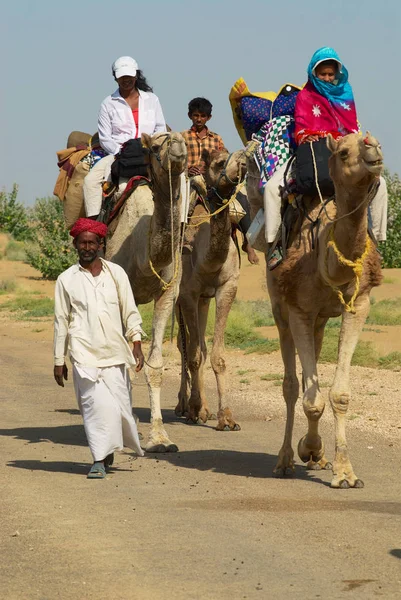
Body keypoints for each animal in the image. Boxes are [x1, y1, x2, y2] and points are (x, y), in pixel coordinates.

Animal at [106, 130, 188, 450]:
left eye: (183, 139)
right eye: (155, 146)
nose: (178, 145)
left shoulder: (168, 292)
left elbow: (154, 366)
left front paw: (160, 436)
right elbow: (124, 363)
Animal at [176, 150, 247, 432]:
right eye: (218, 163)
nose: (244, 161)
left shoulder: (227, 288)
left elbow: (216, 355)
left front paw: (226, 417)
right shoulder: (187, 294)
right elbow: (193, 355)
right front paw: (194, 409)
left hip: (204, 301)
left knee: (200, 347)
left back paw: (204, 409)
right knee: (183, 345)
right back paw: (184, 406)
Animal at [247, 132, 382, 488]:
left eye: (375, 141)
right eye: (345, 152)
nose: (374, 151)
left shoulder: (358, 305)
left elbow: (339, 395)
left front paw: (344, 472)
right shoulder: (299, 311)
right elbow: (310, 398)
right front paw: (307, 449)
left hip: (320, 320)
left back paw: (317, 456)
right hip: (280, 308)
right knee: (291, 386)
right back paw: (285, 460)